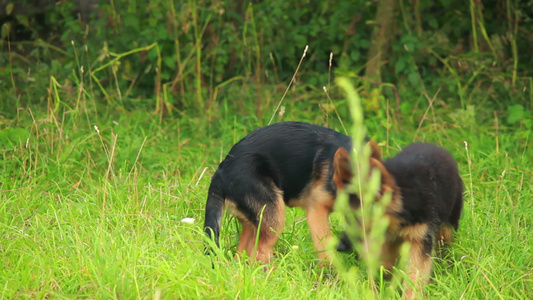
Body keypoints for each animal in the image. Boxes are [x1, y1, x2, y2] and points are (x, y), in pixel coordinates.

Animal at [203, 121, 374, 262]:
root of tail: (220, 171)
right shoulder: (316, 209)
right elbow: (325, 249)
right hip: (274, 213)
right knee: (261, 254)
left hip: (254, 223)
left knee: (243, 257)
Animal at [334, 142, 464, 298]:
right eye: (346, 216)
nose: (340, 247)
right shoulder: (383, 241)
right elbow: (384, 264)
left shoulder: (420, 240)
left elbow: (414, 277)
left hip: (447, 228)